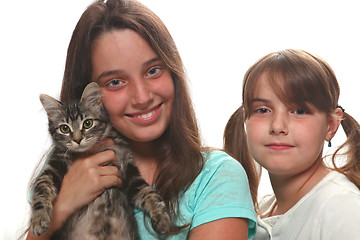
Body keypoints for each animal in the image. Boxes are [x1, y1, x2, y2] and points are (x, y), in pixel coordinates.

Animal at [29, 82, 173, 240]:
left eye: (88, 123)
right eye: (64, 128)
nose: (77, 140)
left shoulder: (129, 168)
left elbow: (149, 193)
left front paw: (163, 219)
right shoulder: (53, 167)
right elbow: (41, 191)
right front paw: (38, 220)